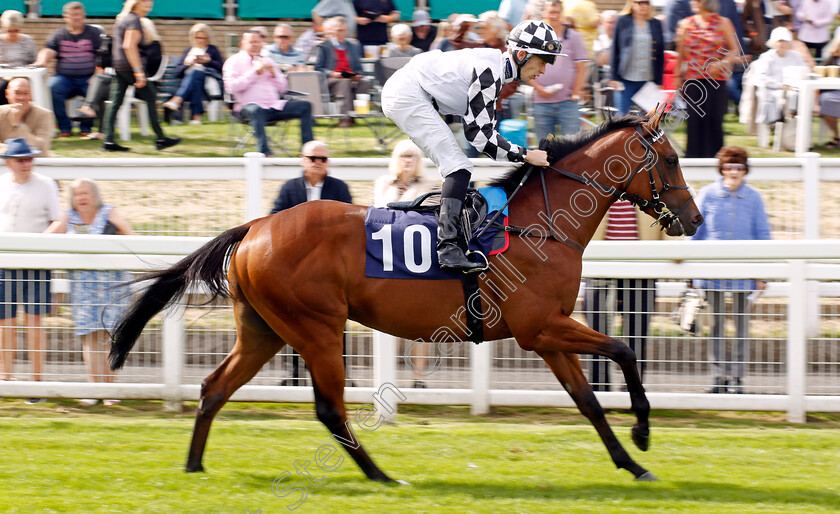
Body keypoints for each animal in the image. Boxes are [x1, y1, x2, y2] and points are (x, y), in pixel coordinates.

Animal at [110, 108, 704, 480]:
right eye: (672, 160)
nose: (695, 219)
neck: (542, 224)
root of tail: (256, 226)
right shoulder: (540, 327)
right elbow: (624, 350)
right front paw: (644, 430)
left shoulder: (548, 334)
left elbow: (588, 402)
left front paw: (634, 463)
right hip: (316, 327)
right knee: (329, 409)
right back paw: (382, 476)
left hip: (262, 330)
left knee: (215, 387)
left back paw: (194, 466)